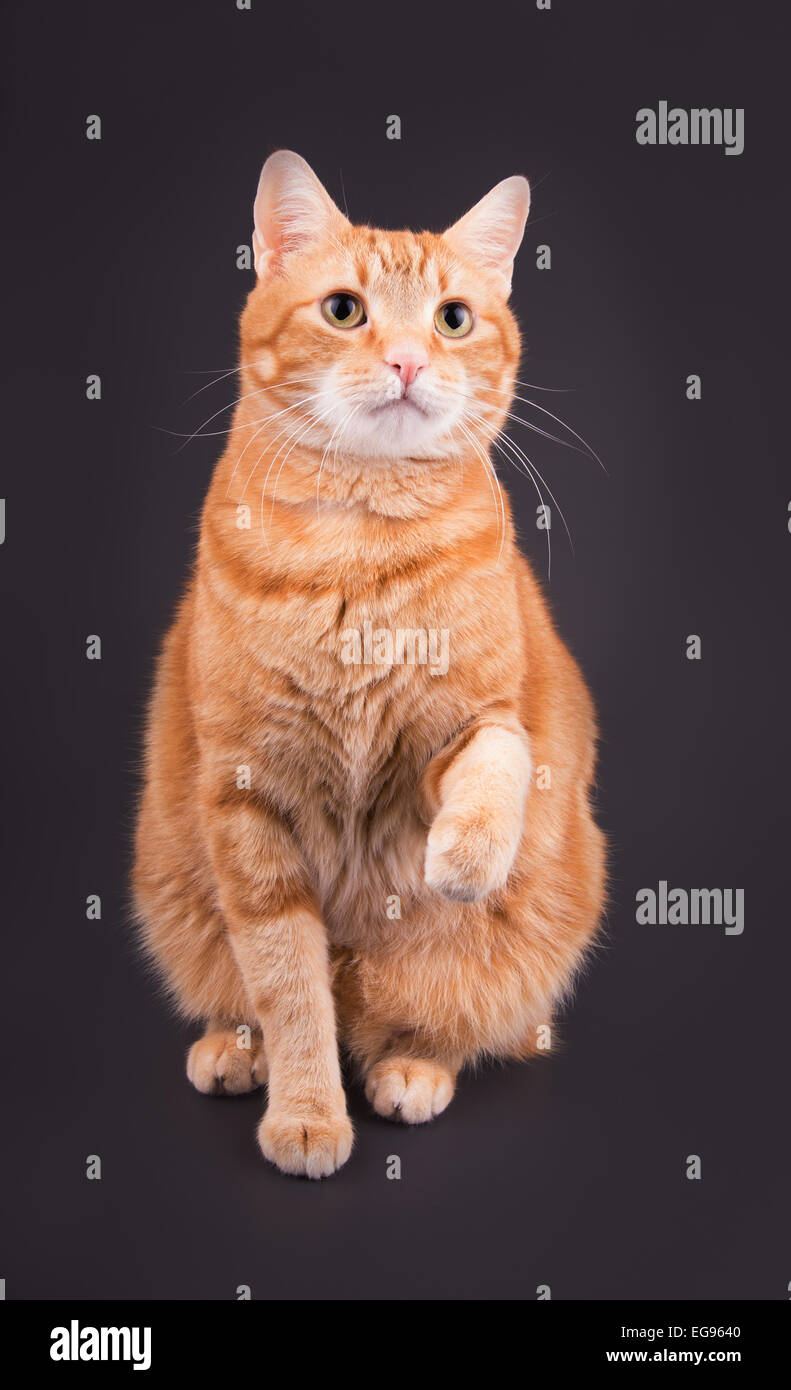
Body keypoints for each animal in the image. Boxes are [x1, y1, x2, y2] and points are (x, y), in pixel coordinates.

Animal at [134, 149, 603, 1173]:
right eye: (345, 310)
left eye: (452, 319)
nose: (407, 360)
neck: (358, 544)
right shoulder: (245, 799)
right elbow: (288, 986)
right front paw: (307, 1111)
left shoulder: (467, 725)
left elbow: (501, 759)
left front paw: (465, 852)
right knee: (267, 998)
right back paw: (236, 1049)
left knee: (444, 1017)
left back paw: (413, 1067)